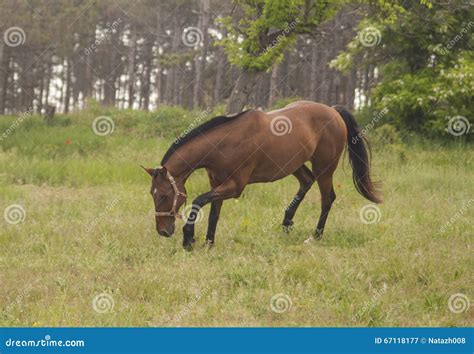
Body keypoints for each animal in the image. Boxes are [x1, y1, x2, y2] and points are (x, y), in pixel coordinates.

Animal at [142, 100, 382, 249]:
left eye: (163, 195)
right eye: (152, 195)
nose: (162, 231)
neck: (225, 144)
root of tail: (333, 111)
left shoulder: (235, 186)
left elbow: (198, 201)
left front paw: (189, 239)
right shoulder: (217, 182)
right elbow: (213, 213)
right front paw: (209, 243)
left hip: (325, 168)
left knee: (327, 198)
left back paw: (315, 236)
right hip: (295, 164)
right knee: (306, 182)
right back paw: (286, 223)